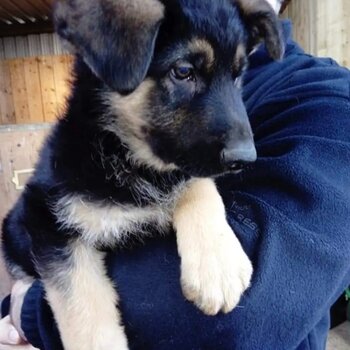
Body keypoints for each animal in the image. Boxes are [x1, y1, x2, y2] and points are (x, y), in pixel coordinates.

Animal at [1, 1, 284, 348]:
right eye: (183, 71)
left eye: (238, 75)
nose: (245, 158)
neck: (126, 157)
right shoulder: (48, 221)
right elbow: (84, 311)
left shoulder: (187, 162)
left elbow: (196, 181)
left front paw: (217, 262)